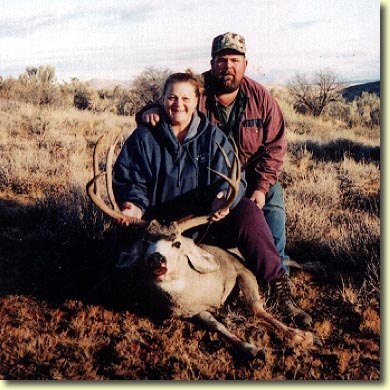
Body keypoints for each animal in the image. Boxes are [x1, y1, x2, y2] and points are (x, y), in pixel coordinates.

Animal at [85, 130, 320, 360]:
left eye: (177, 244)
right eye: (144, 243)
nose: (156, 258)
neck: (199, 289)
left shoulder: (242, 270)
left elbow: (257, 309)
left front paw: (301, 336)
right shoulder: (197, 312)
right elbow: (218, 326)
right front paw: (252, 348)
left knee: (287, 260)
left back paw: (315, 268)